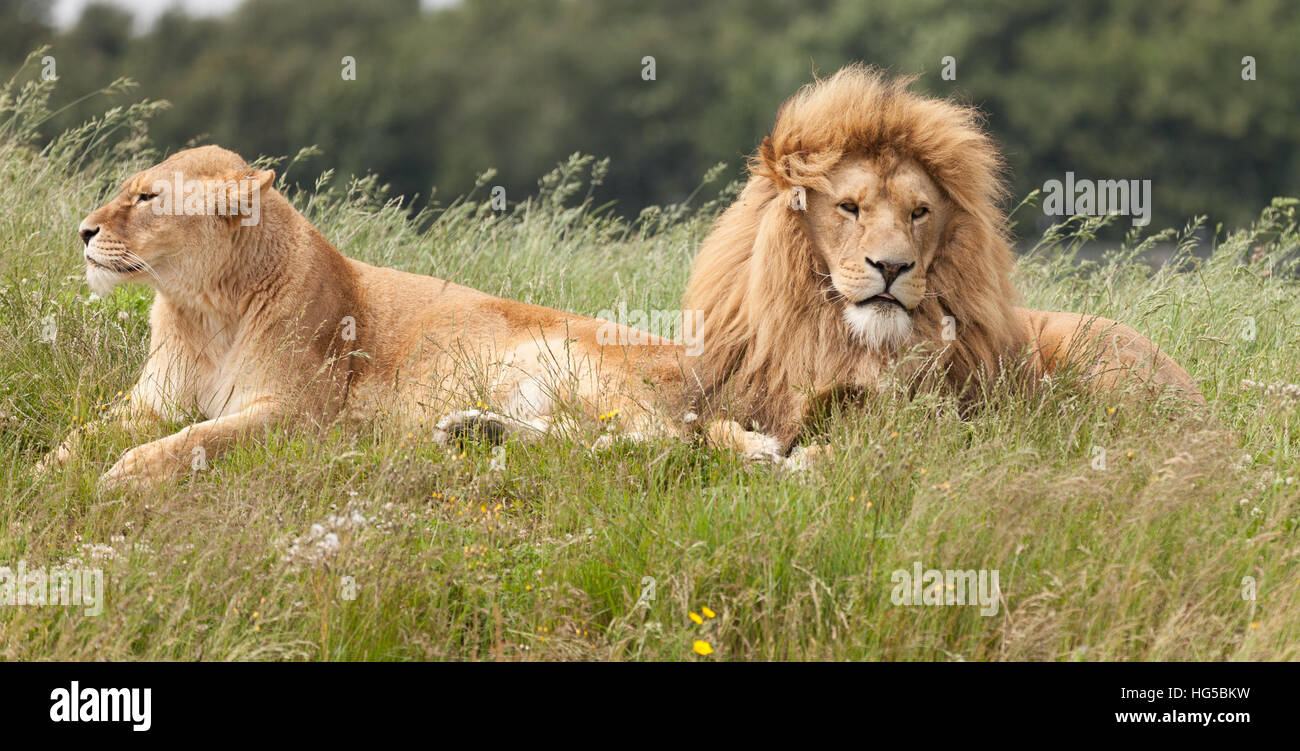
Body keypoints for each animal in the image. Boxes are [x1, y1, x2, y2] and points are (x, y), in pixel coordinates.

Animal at [43, 145, 769, 488]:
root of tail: (701, 362)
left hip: (566, 356)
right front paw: (47, 472)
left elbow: (194, 439)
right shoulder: (153, 399)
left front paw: (122, 476)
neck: (204, 307)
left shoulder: (299, 414)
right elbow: (84, 432)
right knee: (569, 436)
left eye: (147, 197)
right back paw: (473, 432)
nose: (82, 232)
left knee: (666, 442)